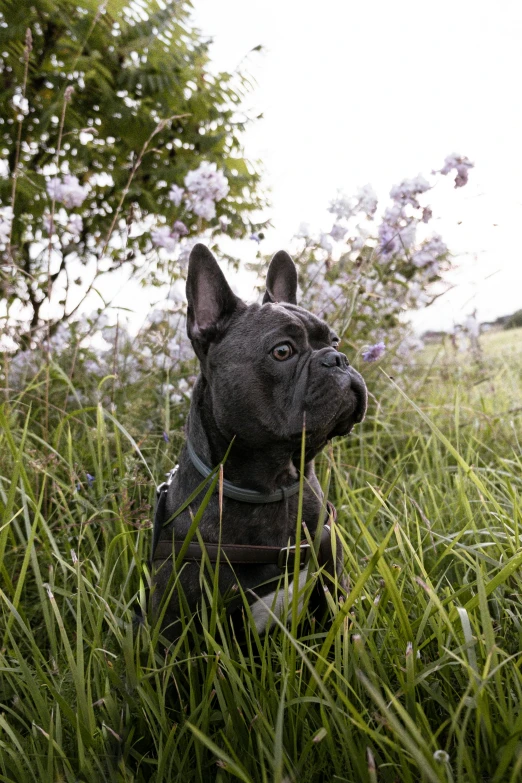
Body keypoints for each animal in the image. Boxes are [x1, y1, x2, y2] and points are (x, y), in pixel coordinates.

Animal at [148, 243, 368, 636]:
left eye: (335, 341)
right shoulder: (172, 625)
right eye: (282, 351)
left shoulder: (334, 597)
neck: (274, 484)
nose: (338, 358)